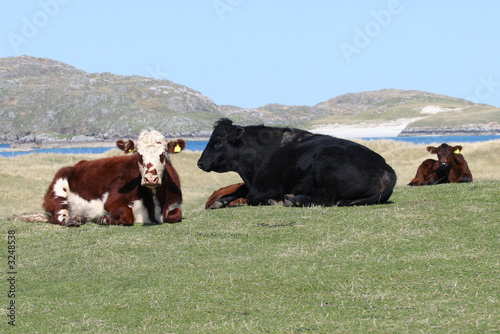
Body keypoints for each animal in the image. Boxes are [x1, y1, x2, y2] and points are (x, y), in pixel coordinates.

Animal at [41, 130, 186, 227]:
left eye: (162, 154)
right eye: (139, 155)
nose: (150, 179)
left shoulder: (175, 204)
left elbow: (177, 214)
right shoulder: (112, 200)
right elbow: (128, 215)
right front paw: (105, 219)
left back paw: (79, 217)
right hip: (58, 190)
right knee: (57, 215)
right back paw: (71, 220)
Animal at [197, 118, 396, 209]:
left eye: (217, 142)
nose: (200, 162)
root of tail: (386, 169)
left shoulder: (265, 187)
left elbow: (250, 198)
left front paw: (274, 200)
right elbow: (239, 190)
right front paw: (220, 202)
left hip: (327, 161)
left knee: (325, 198)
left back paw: (294, 199)